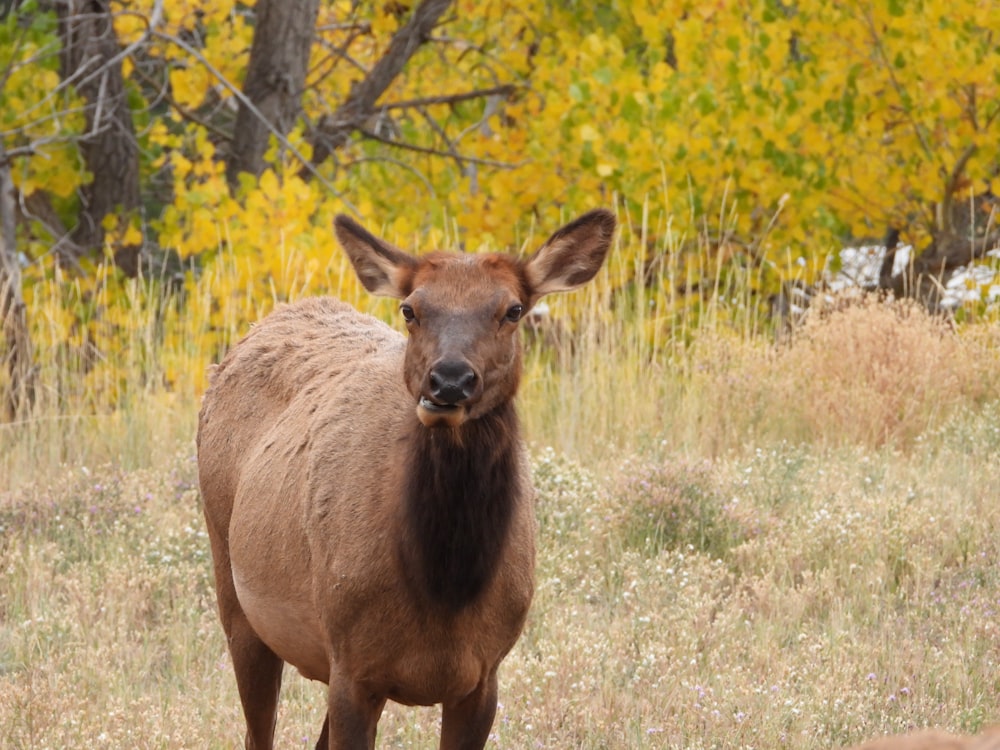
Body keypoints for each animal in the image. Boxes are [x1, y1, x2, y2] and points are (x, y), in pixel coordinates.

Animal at [196, 209, 616, 748]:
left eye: (513, 309)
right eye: (411, 310)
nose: (450, 380)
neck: (443, 590)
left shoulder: (483, 676)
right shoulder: (353, 667)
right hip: (237, 593)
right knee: (256, 730)